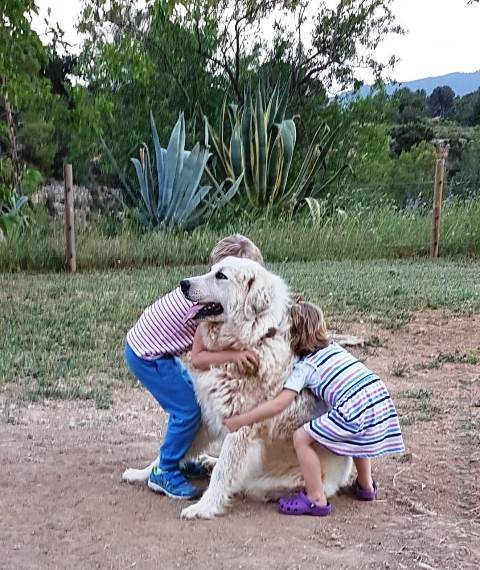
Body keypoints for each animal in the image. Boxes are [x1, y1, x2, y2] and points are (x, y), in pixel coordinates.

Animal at [122, 258, 350, 516]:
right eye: (211, 270)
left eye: (221, 276)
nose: (183, 284)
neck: (249, 340)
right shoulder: (207, 413)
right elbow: (171, 451)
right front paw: (142, 474)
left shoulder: (240, 427)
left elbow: (223, 473)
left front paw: (203, 508)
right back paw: (207, 461)